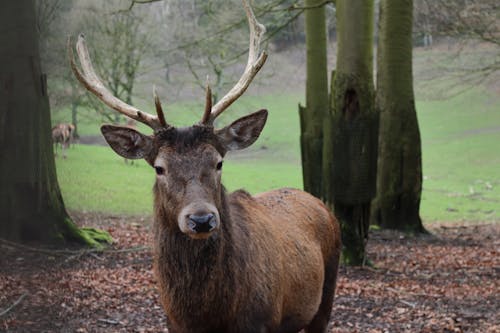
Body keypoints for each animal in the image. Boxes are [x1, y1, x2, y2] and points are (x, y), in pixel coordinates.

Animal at [69, 1, 340, 330]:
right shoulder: (173, 323)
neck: (207, 315)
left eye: (219, 162)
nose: (201, 219)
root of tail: (321, 203)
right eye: (159, 167)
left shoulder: (261, 321)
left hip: (326, 294)